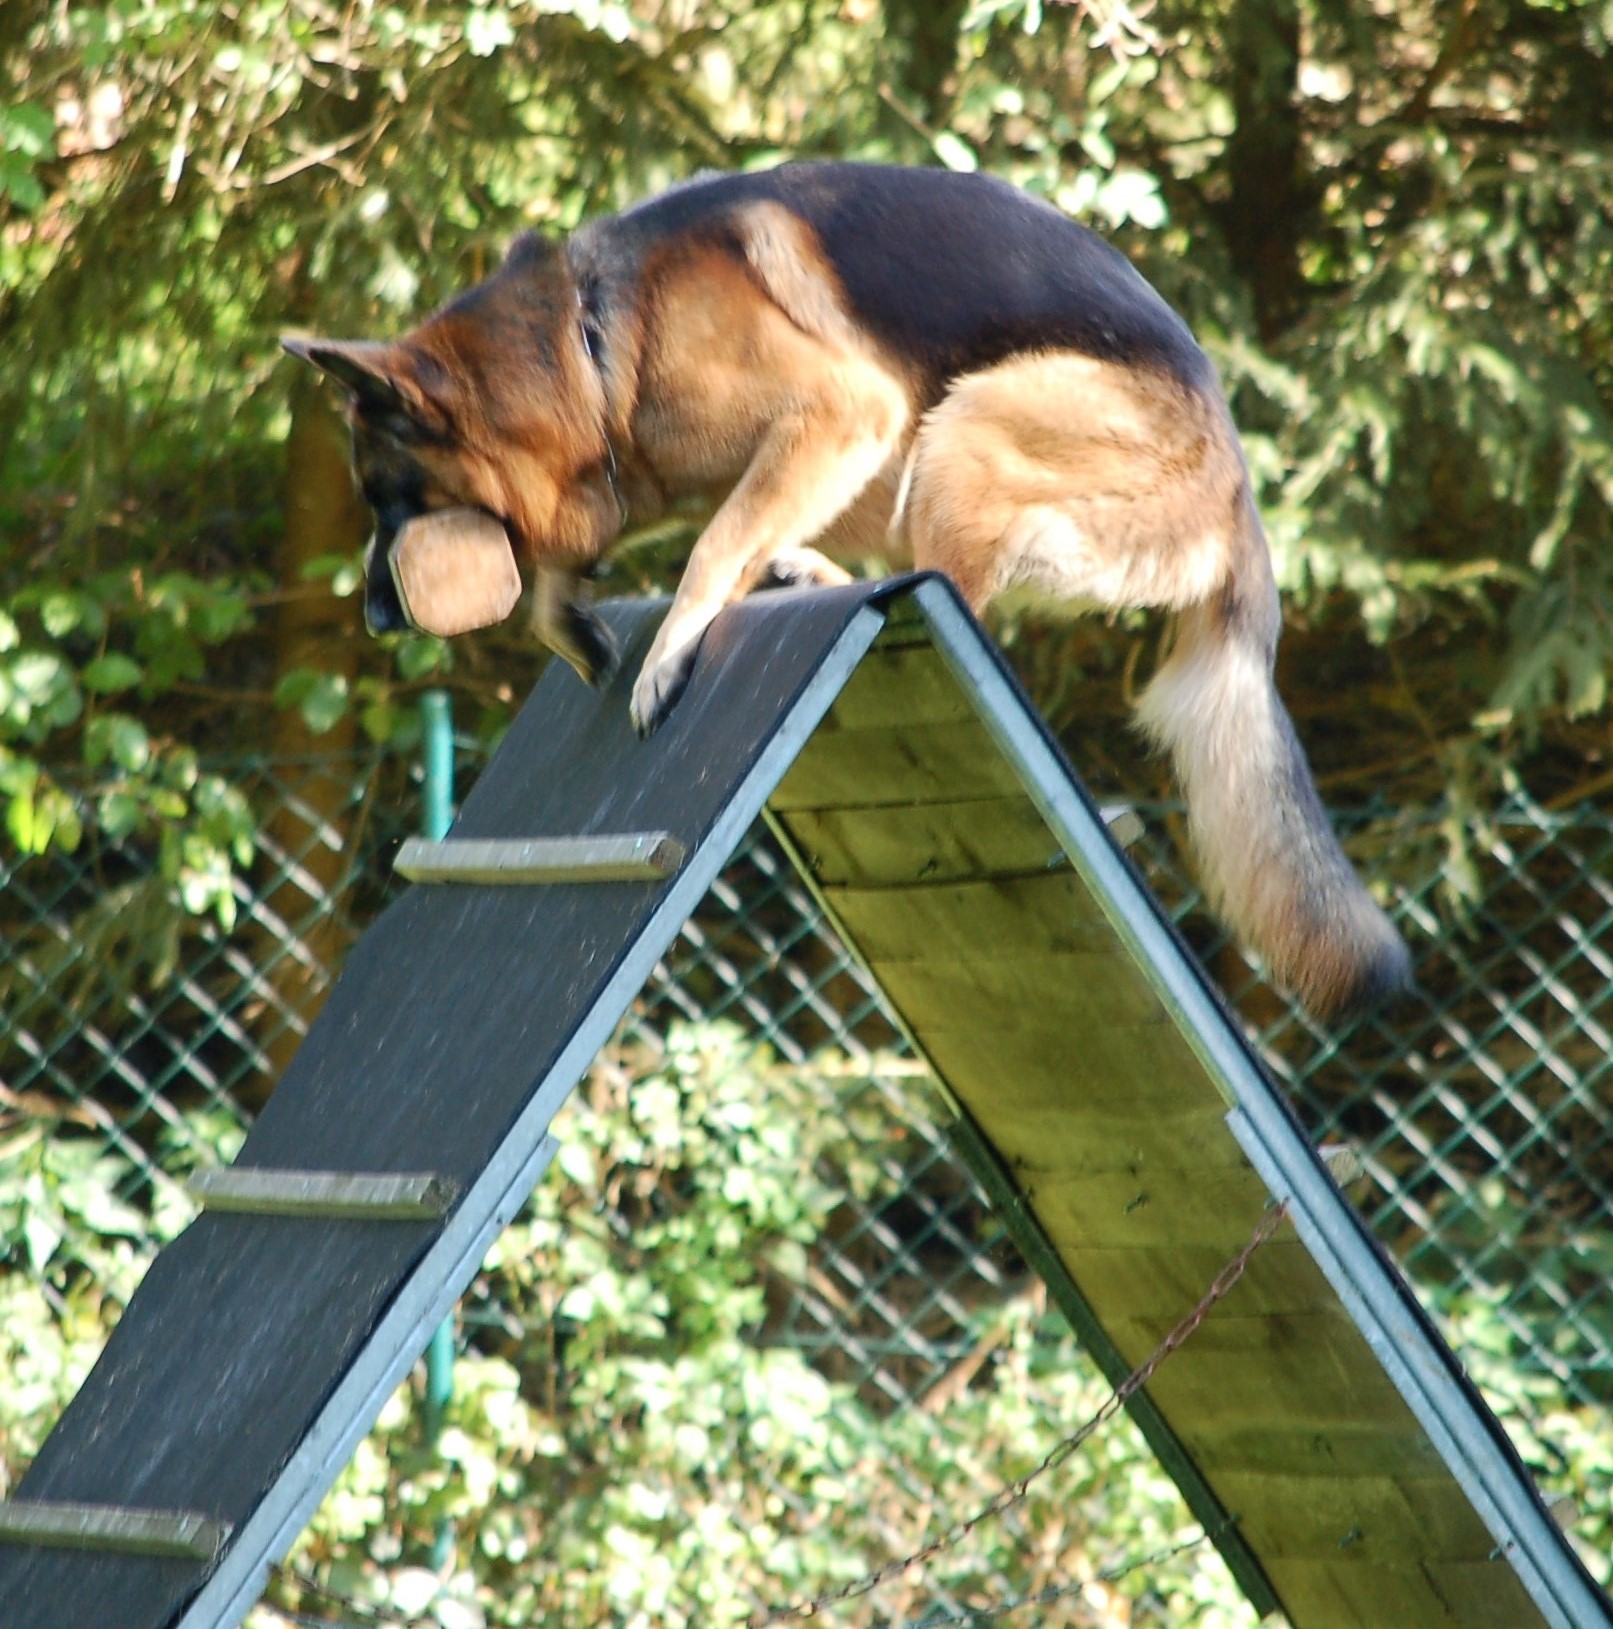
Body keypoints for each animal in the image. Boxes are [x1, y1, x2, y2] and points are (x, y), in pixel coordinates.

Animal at [286, 155, 1414, 1016]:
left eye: (385, 498)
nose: (375, 617)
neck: (590, 338)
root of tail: (1237, 494)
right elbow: (591, 559)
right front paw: (578, 623)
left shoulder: (836, 408)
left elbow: (710, 543)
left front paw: (668, 647)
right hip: (913, 461)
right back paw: (810, 570)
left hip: (959, 425)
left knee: (951, 591)